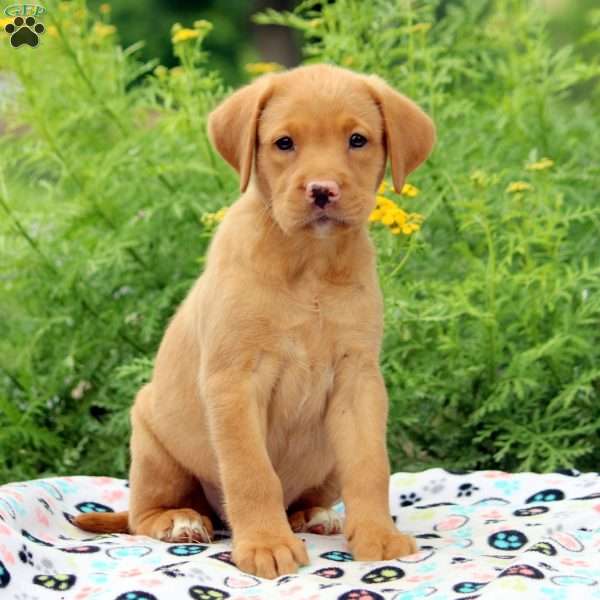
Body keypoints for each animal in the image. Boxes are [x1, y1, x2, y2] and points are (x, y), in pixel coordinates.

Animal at [76, 63, 436, 580]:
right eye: (284, 143)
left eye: (358, 140)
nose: (322, 190)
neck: (309, 267)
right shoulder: (234, 381)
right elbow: (251, 472)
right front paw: (266, 544)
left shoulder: (359, 379)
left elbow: (371, 465)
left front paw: (377, 536)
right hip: (151, 441)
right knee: (145, 514)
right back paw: (181, 522)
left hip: (325, 461)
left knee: (305, 497)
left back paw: (315, 515)